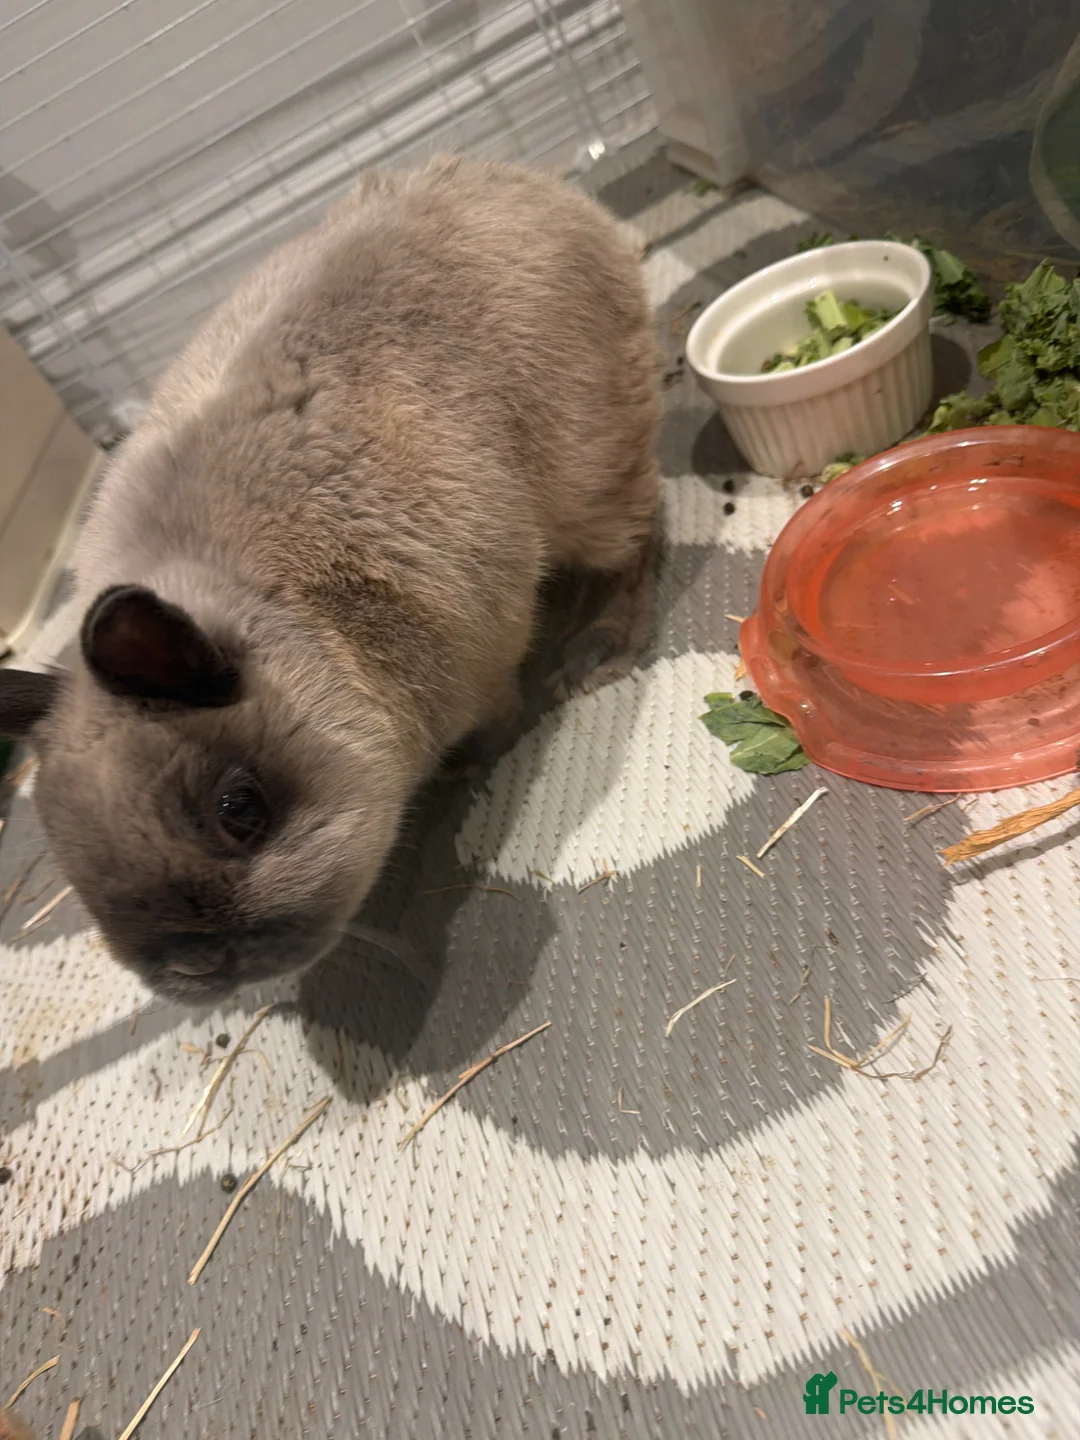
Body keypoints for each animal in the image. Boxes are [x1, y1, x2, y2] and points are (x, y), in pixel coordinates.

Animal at [0, 155, 660, 1003]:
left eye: (240, 808)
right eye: (68, 856)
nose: (193, 969)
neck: (308, 623)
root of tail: (540, 188)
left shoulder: (479, 651)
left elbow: (498, 709)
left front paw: (475, 761)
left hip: (591, 478)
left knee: (638, 534)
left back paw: (597, 651)